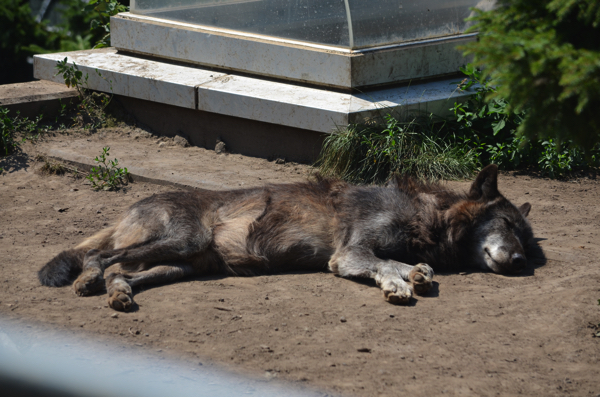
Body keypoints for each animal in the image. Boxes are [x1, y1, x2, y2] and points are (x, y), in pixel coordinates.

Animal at [38, 163, 536, 310]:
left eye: (526, 241)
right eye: (509, 226)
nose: (519, 263)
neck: (427, 217)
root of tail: (133, 204)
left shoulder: (366, 250)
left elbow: (407, 264)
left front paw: (414, 275)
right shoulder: (350, 253)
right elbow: (383, 265)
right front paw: (399, 283)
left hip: (182, 265)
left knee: (121, 269)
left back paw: (119, 295)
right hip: (182, 243)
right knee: (102, 257)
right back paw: (87, 281)